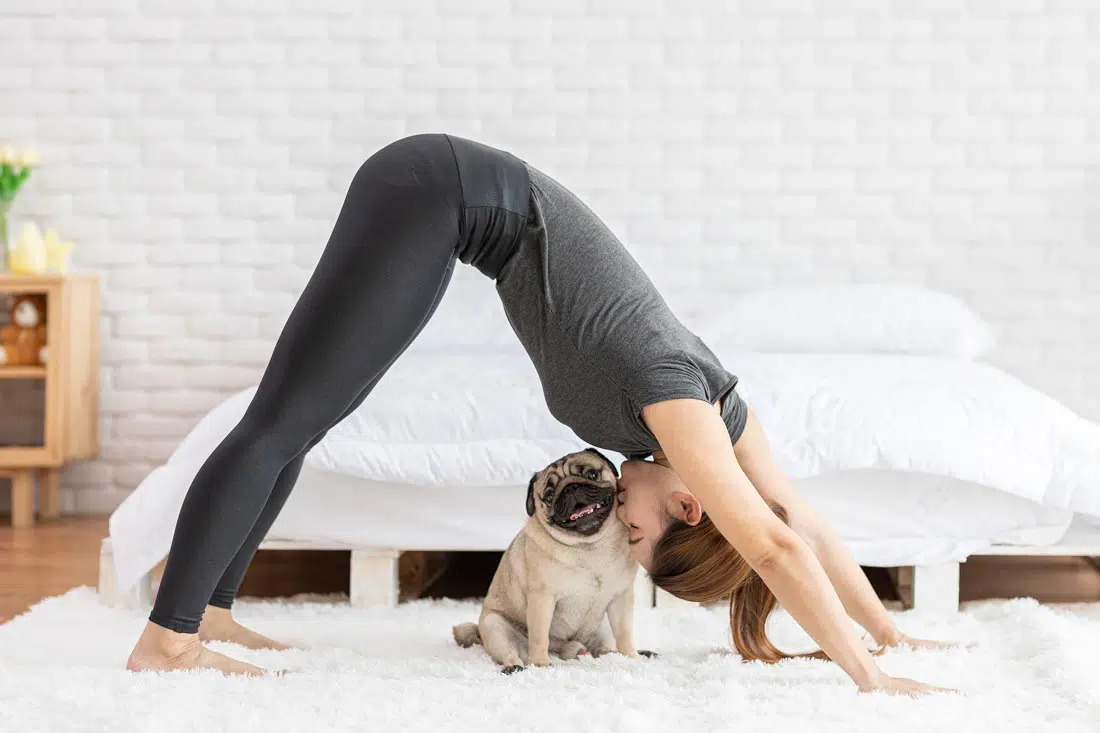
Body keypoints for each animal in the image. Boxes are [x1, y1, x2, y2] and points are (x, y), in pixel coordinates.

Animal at [451, 442, 646, 669]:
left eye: (592, 474)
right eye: (550, 495)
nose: (571, 488)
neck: (589, 546)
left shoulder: (621, 597)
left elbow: (624, 632)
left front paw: (630, 657)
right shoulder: (542, 598)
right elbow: (539, 636)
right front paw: (541, 665)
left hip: (602, 625)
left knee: (601, 646)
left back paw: (609, 653)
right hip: (495, 627)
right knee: (512, 652)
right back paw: (516, 667)